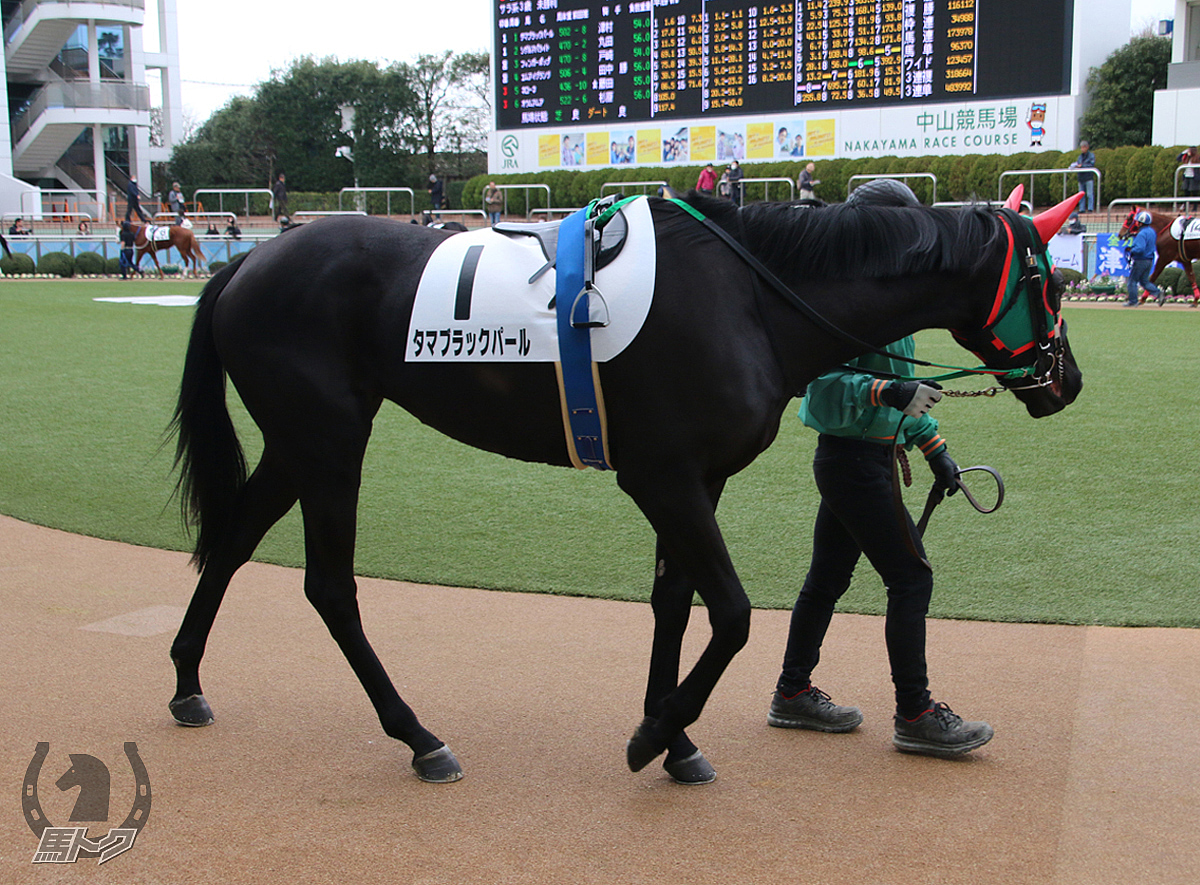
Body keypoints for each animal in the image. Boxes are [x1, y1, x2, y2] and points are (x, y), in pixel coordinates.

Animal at [171, 189, 1089, 781]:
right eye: (1050, 280)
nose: (1068, 381)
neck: (749, 296)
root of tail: (247, 261)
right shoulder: (662, 477)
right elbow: (732, 611)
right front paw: (655, 735)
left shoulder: (697, 479)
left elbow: (674, 601)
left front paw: (671, 736)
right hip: (330, 442)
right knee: (330, 585)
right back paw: (418, 736)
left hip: (298, 444)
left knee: (233, 541)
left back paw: (186, 683)